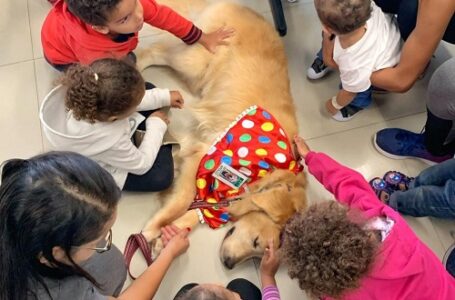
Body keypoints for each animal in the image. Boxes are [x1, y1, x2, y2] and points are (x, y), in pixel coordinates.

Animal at [135, 0, 306, 270]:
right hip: (194, 60)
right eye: (258, 242)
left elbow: (196, 213)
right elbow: (183, 199)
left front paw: (167, 237)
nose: (228, 264)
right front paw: (154, 228)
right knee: (155, 51)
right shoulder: (205, 156)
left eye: (259, 253)